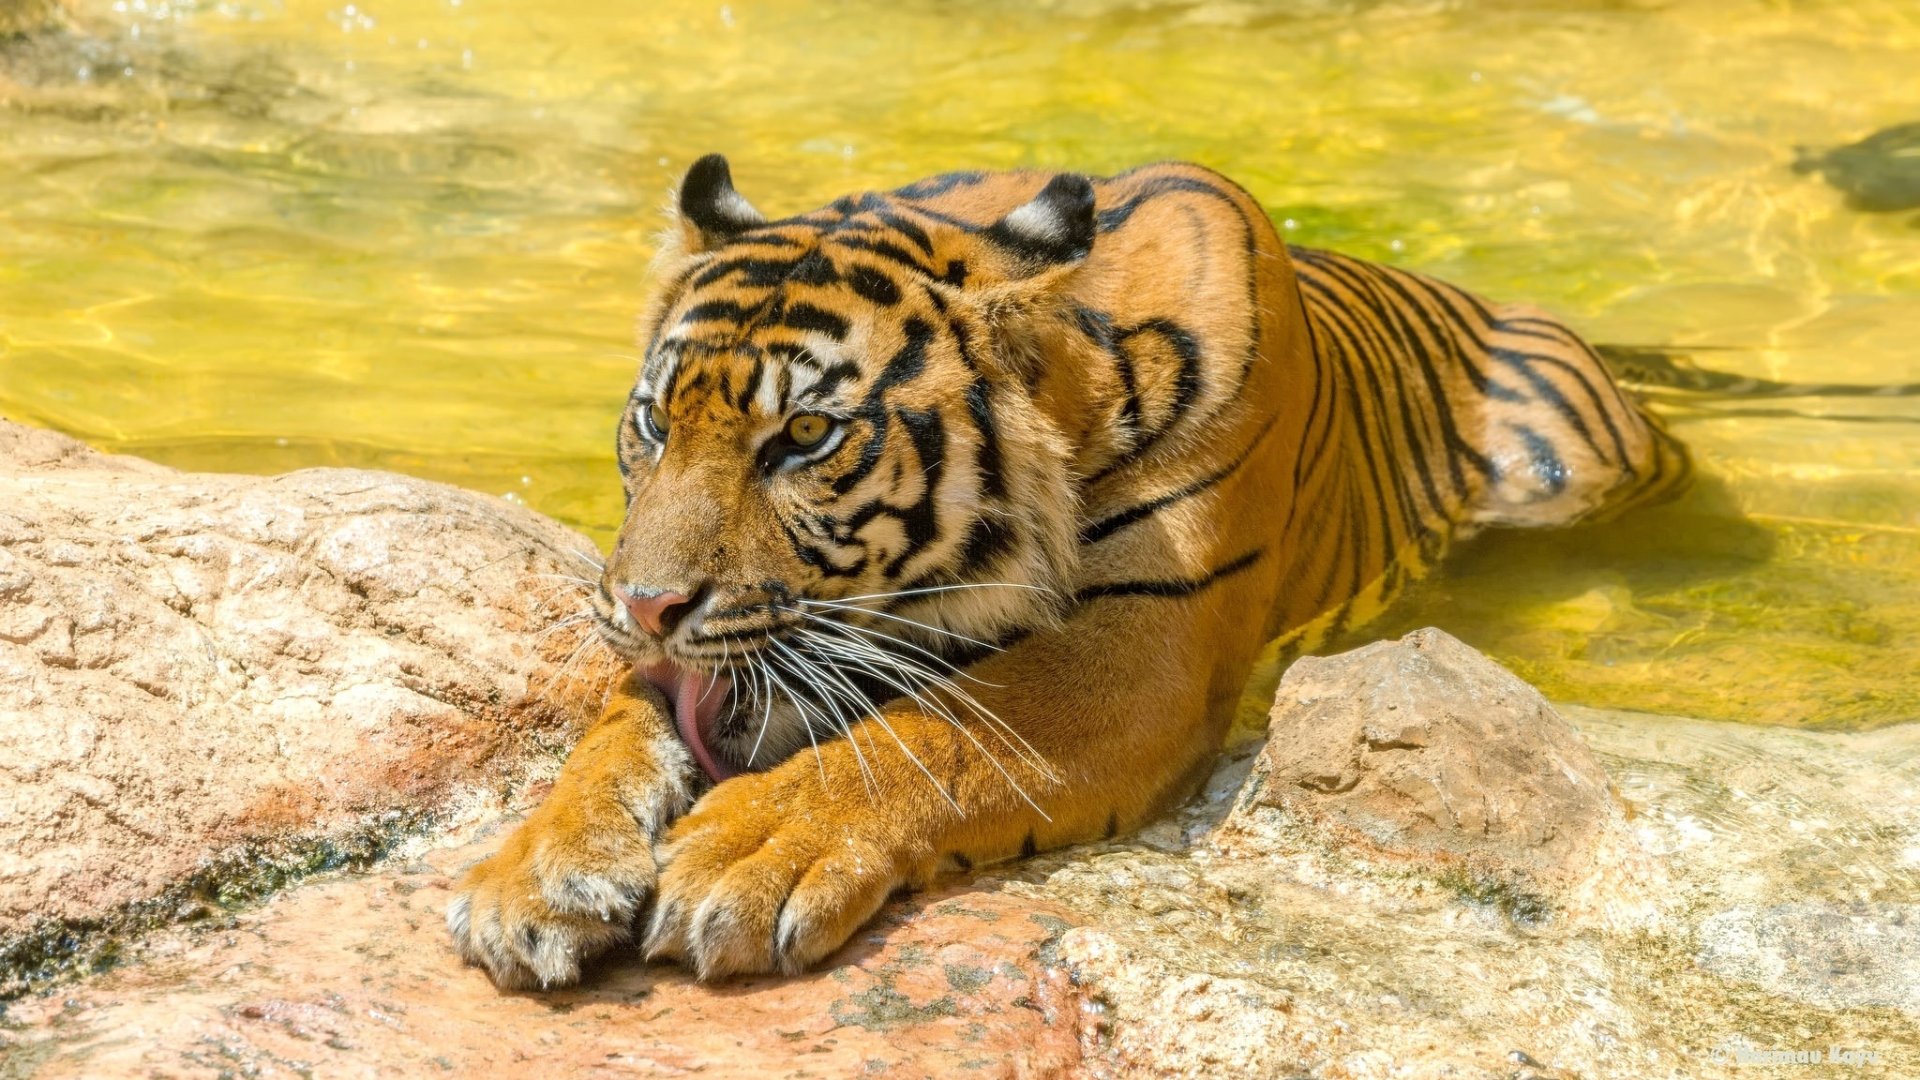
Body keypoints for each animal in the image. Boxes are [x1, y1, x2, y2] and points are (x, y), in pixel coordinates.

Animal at [445, 155, 1691, 988]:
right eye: (656, 423)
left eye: (803, 437)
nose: (647, 605)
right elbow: (617, 728)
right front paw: (535, 872)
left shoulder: (1144, 646)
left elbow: (935, 736)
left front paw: (742, 854)